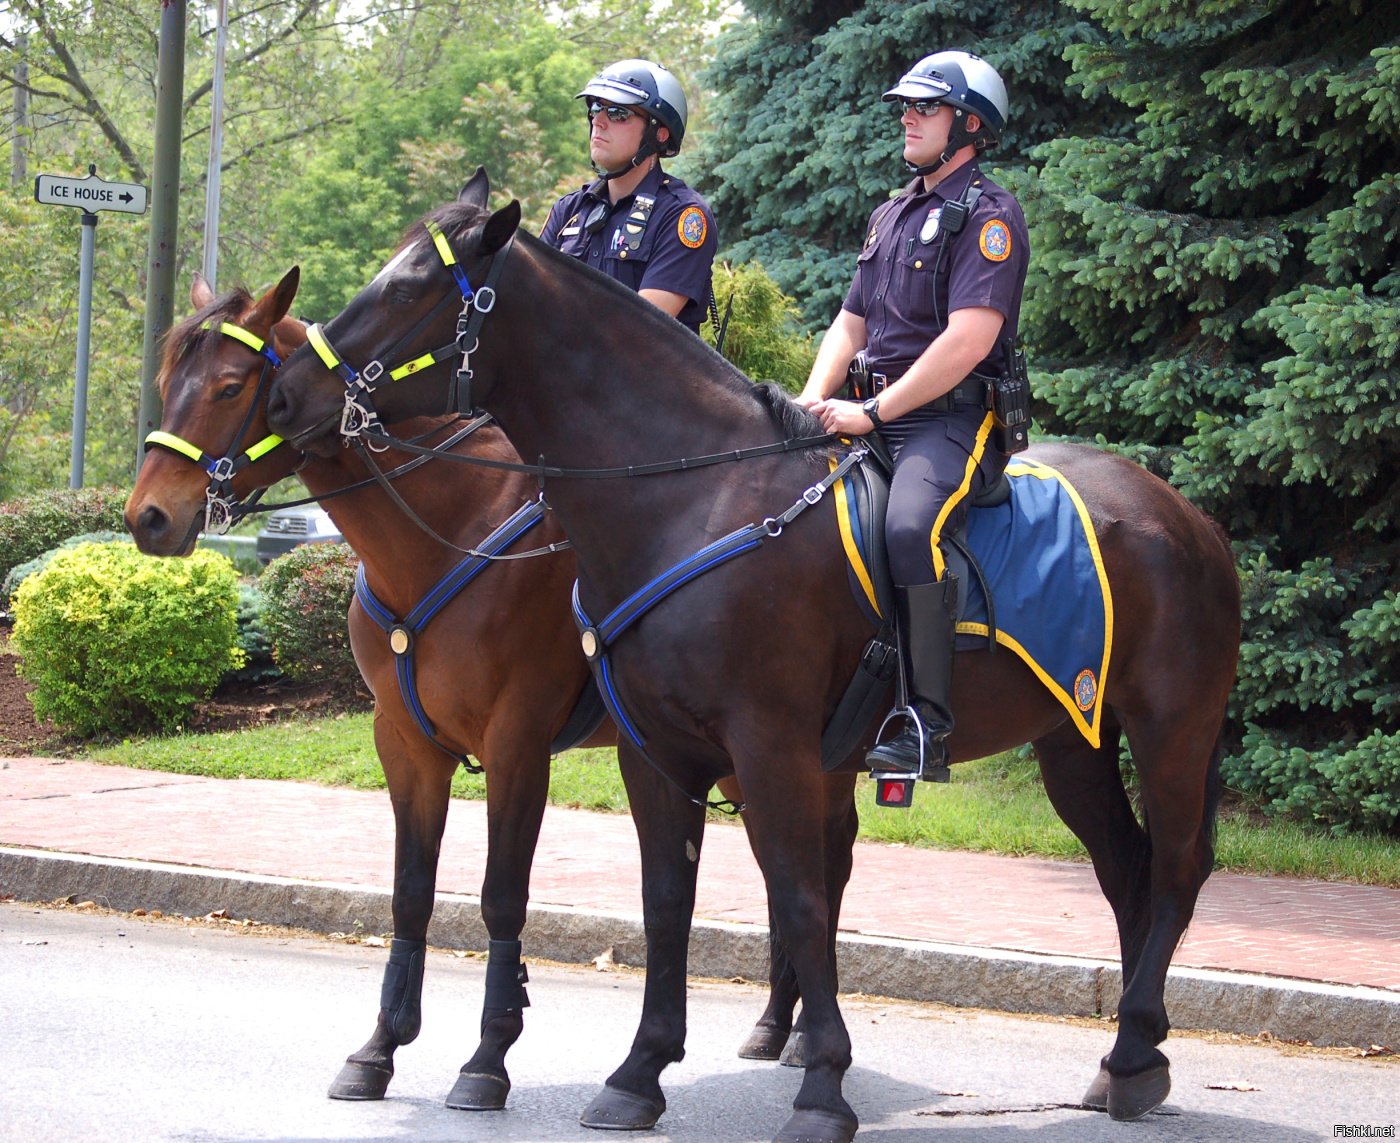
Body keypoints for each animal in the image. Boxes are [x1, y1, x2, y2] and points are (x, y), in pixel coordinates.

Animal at [128, 267, 851, 1109]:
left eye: (231, 385)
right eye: (167, 381)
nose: (148, 515)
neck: (445, 532)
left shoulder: (517, 740)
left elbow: (501, 893)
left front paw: (488, 1054)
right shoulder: (404, 743)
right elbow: (410, 892)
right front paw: (381, 1046)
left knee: (823, 864)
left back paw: (798, 1035)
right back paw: (775, 1024)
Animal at [267, 174, 1243, 1137]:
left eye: (407, 289)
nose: (287, 395)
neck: (692, 495)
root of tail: (1185, 514)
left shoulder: (767, 747)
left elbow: (800, 898)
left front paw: (822, 1086)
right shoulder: (655, 753)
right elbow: (668, 901)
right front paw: (639, 1072)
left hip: (1171, 727)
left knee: (1177, 865)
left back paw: (1136, 1042)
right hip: (1072, 736)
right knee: (1127, 868)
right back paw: (1127, 1057)